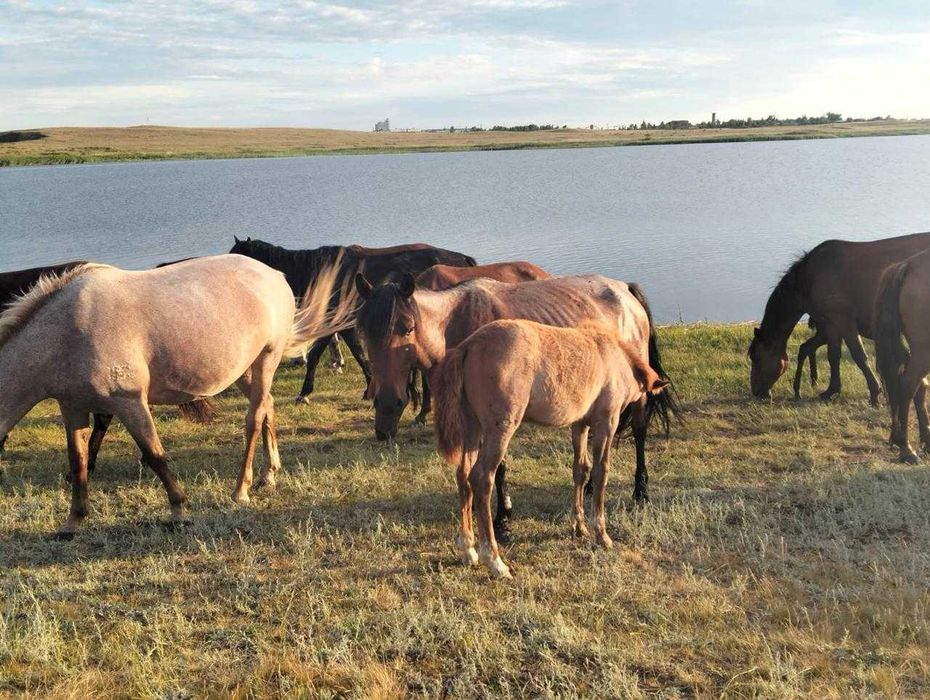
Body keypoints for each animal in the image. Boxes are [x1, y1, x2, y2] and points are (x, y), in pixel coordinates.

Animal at [0, 254, 352, 538]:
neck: (66, 332)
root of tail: (274, 275)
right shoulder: (72, 407)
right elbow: (78, 462)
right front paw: (73, 521)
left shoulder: (129, 402)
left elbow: (155, 455)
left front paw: (179, 511)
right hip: (245, 369)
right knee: (267, 406)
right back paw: (269, 475)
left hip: (267, 358)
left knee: (253, 419)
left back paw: (242, 489)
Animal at [228, 237, 476, 404]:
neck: (323, 272)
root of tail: (464, 259)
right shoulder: (342, 325)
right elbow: (357, 352)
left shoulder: (334, 322)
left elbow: (323, 354)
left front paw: (305, 392)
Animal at [354, 272, 679, 540]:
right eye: (364, 334)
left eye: (408, 329)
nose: (387, 405)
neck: (456, 324)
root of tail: (624, 289)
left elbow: (497, 469)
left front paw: (502, 520)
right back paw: (587, 489)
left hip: (638, 395)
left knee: (639, 432)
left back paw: (641, 490)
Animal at [432, 319, 669, 578]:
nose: (643, 413)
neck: (614, 356)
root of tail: (468, 346)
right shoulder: (606, 422)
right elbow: (601, 472)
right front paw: (601, 534)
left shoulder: (580, 424)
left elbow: (581, 470)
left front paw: (579, 526)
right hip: (499, 429)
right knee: (482, 478)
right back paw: (494, 560)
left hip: (472, 428)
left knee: (463, 477)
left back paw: (468, 550)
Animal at [749, 232, 930, 403]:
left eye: (756, 357)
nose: (756, 392)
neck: (810, 278)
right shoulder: (831, 323)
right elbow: (833, 355)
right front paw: (831, 390)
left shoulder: (843, 320)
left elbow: (859, 355)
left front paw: (874, 393)